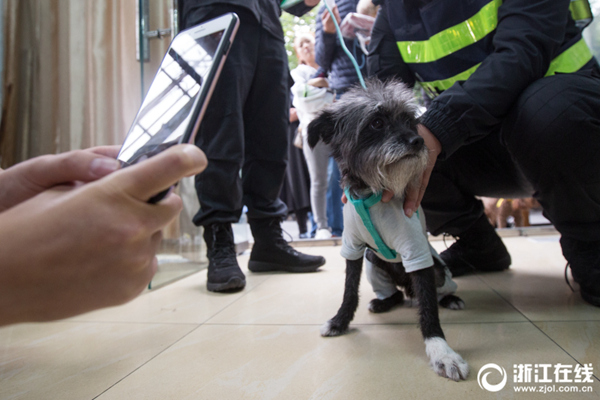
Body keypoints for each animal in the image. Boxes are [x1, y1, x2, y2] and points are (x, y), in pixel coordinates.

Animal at [308, 79, 472, 382]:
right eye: (376, 122)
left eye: (409, 121)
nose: (419, 141)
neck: (370, 194)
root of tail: (408, 290)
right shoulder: (352, 248)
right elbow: (349, 290)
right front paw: (340, 321)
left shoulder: (417, 253)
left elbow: (429, 309)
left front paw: (441, 352)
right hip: (374, 262)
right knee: (394, 293)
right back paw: (383, 302)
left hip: (438, 271)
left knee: (433, 292)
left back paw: (450, 298)